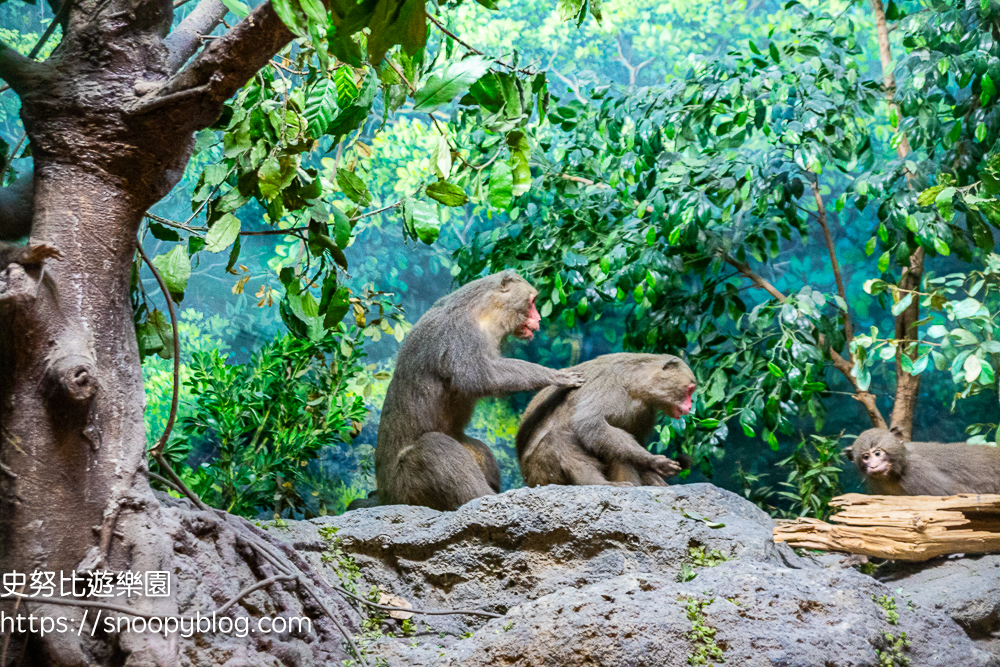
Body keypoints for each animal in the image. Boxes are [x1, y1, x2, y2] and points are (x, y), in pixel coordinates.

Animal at [376, 272, 584, 512]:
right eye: (532, 301)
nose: (539, 318)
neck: (484, 312)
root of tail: (385, 495)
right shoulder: (460, 333)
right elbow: (479, 375)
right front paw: (554, 375)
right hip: (405, 486)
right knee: (433, 448)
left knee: (478, 450)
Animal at [516, 354, 696, 490]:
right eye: (689, 391)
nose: (690, 406)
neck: (635, 385)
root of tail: (529, 480)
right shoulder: (610, 385)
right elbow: (590, 424)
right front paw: (652, 460)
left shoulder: (645, 410)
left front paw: (651, 472)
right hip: (540, 472)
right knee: (560, 437)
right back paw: (598, 483)